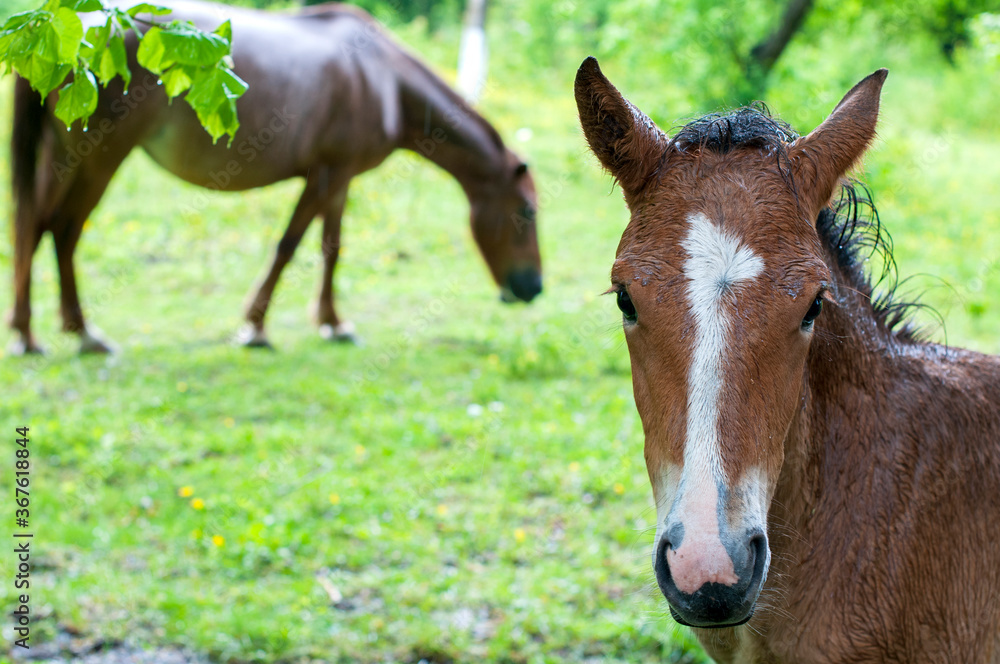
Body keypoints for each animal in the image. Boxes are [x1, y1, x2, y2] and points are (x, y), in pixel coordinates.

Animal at [8, 0, 541, 354]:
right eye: (527, 211)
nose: (533, 288)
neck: (382, 78)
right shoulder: (328, 176)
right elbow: (291, 246)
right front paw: (257, 327)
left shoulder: (339, 179)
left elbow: (330, 247)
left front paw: (331, 323)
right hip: (98, 158)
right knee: (60, 228)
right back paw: (75, 332)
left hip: (61, 156)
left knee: (34, 227)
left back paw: (32, 331)